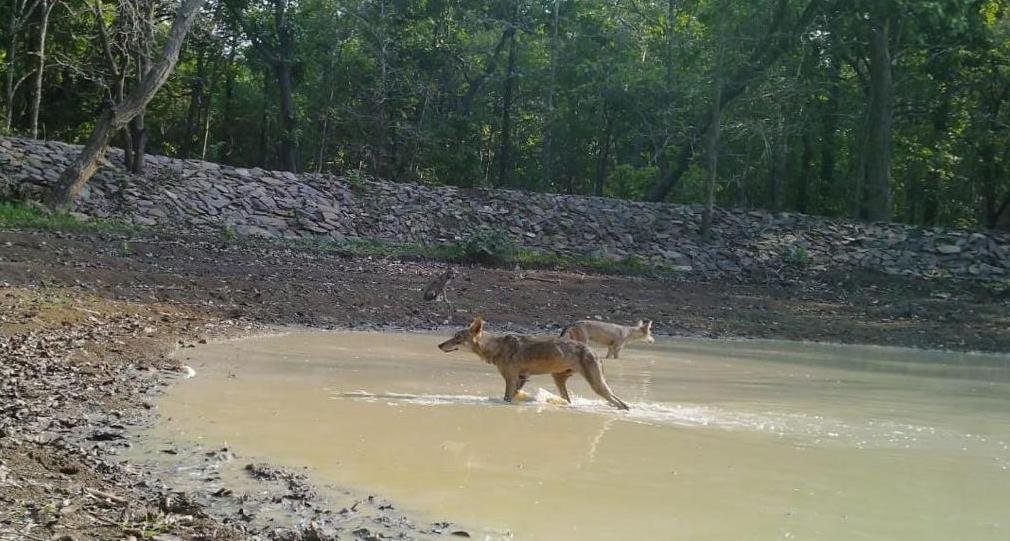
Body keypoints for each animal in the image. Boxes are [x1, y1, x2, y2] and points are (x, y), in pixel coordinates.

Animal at [438, 317, 629, 410]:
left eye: (457, 337)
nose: (439, 345)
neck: (497, 346)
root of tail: (594, 352)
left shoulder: (511, 378)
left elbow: (506, 398)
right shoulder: (521, 379)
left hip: (597, 385)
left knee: (621, 403)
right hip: (558, 380)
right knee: (569, 400)